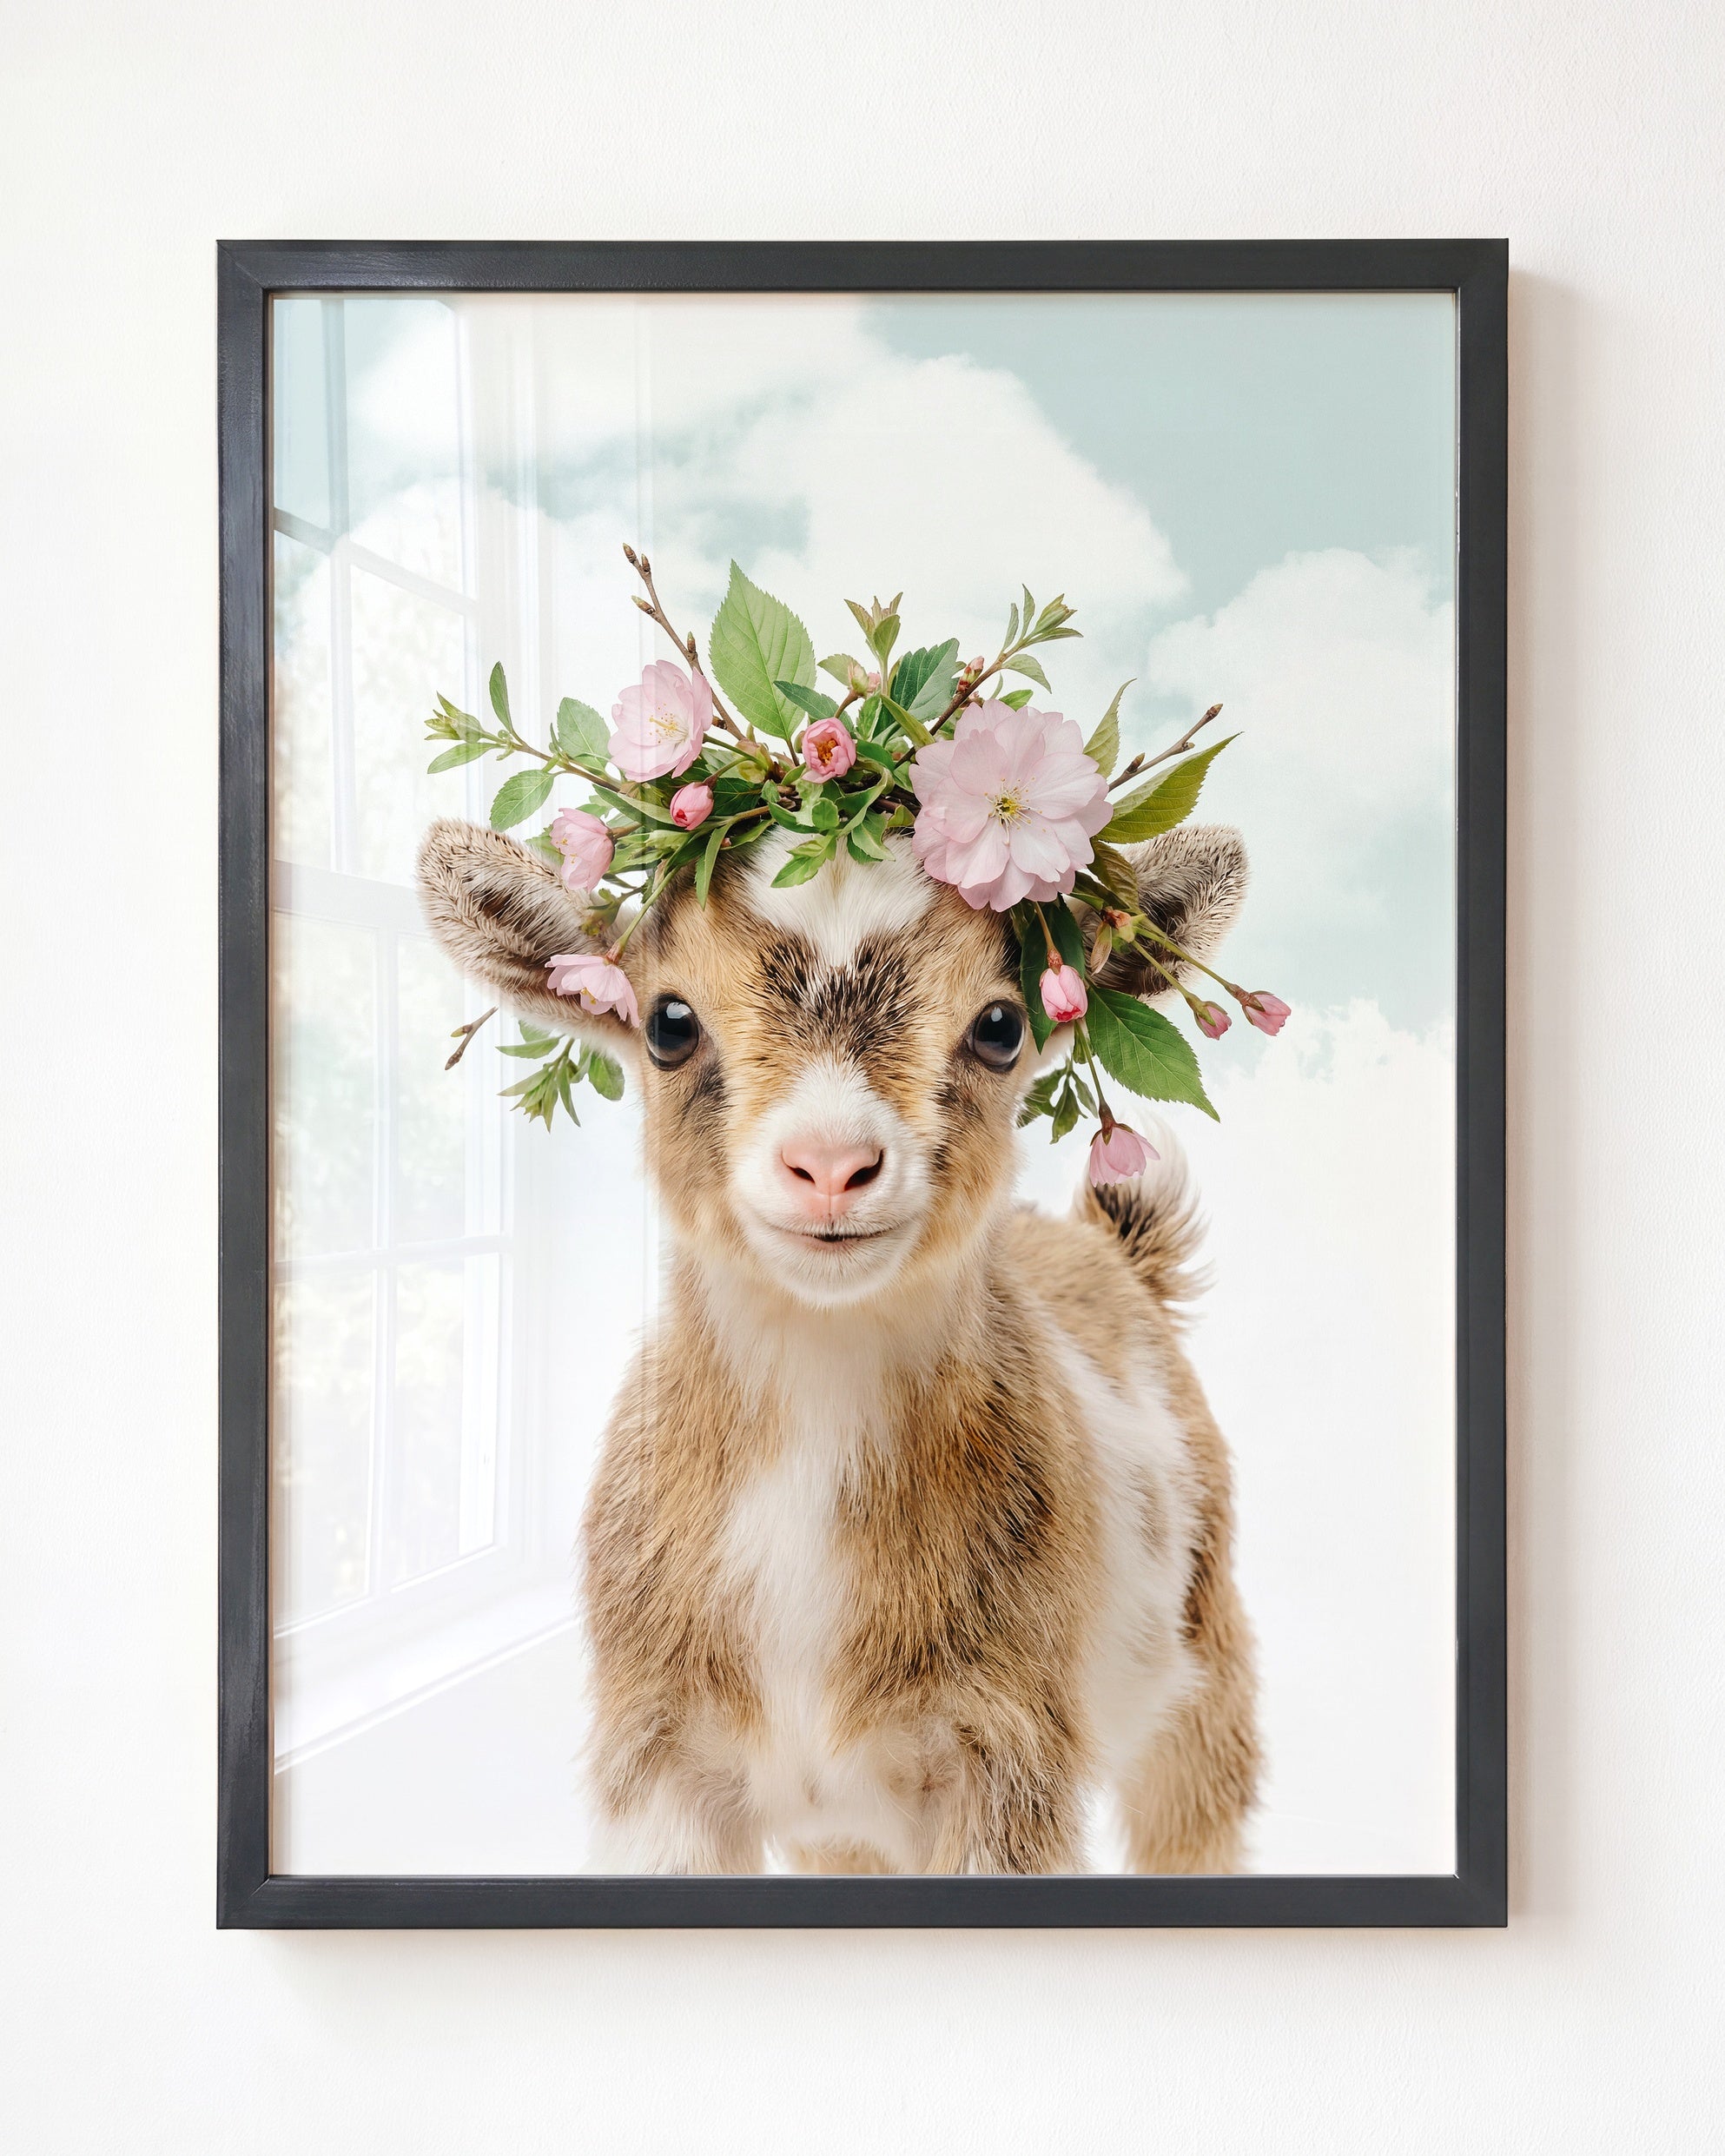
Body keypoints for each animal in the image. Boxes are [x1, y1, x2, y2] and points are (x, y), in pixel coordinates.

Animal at [418, 815, 1260, 1873]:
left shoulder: (1007, 1757)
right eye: (668, 1023)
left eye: (1000, 1026)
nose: (829, 1165)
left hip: (1207, 1668)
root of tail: (1112, 1250)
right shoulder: (659, 1759)